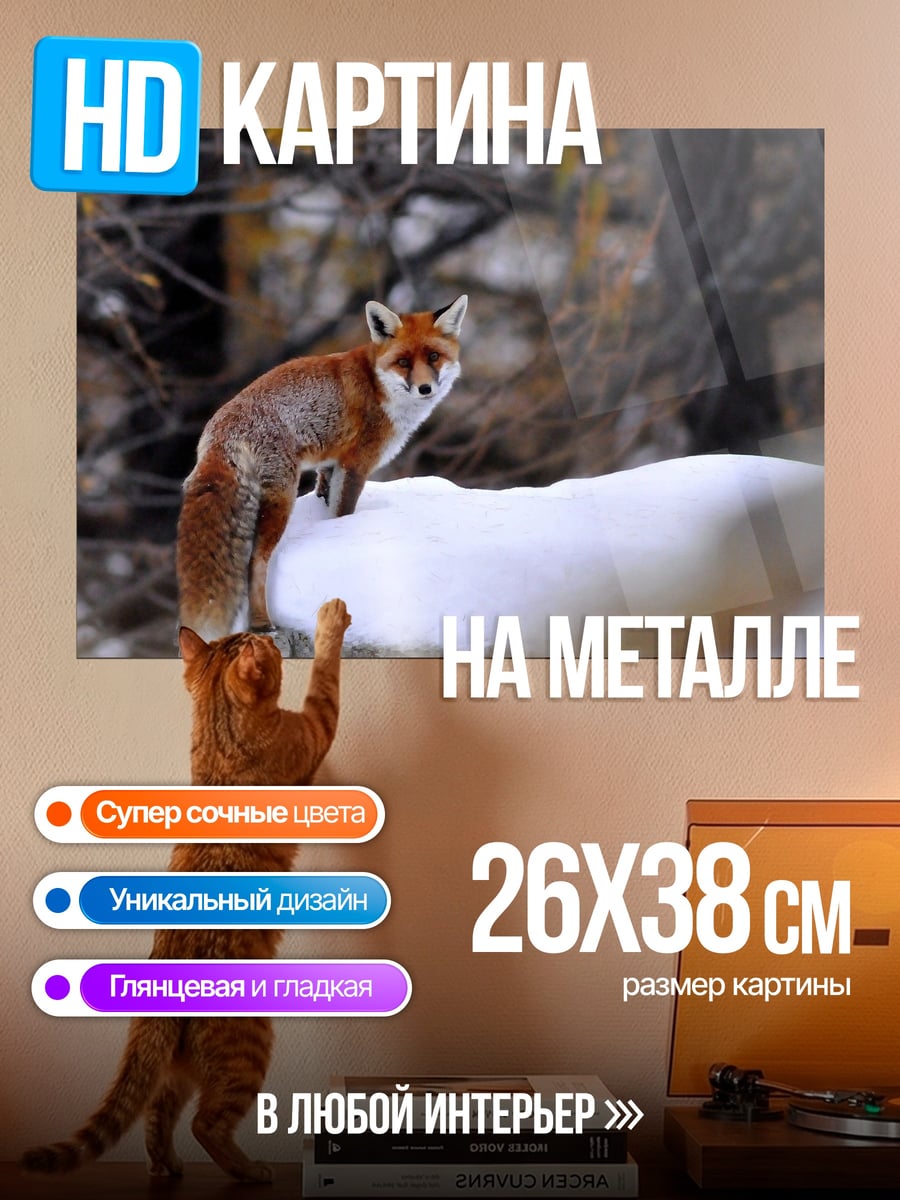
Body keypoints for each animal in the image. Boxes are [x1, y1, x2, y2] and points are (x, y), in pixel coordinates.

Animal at [176, 294, 468, 641]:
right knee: (255, 562)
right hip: (281, 498)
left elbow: (325, 498)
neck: (377, 385)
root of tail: (220, 429)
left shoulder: (330, 464)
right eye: (404, 362)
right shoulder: (356, 464)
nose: (425, 389)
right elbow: (342, 514)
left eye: (434, 356)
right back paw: (262, 624)